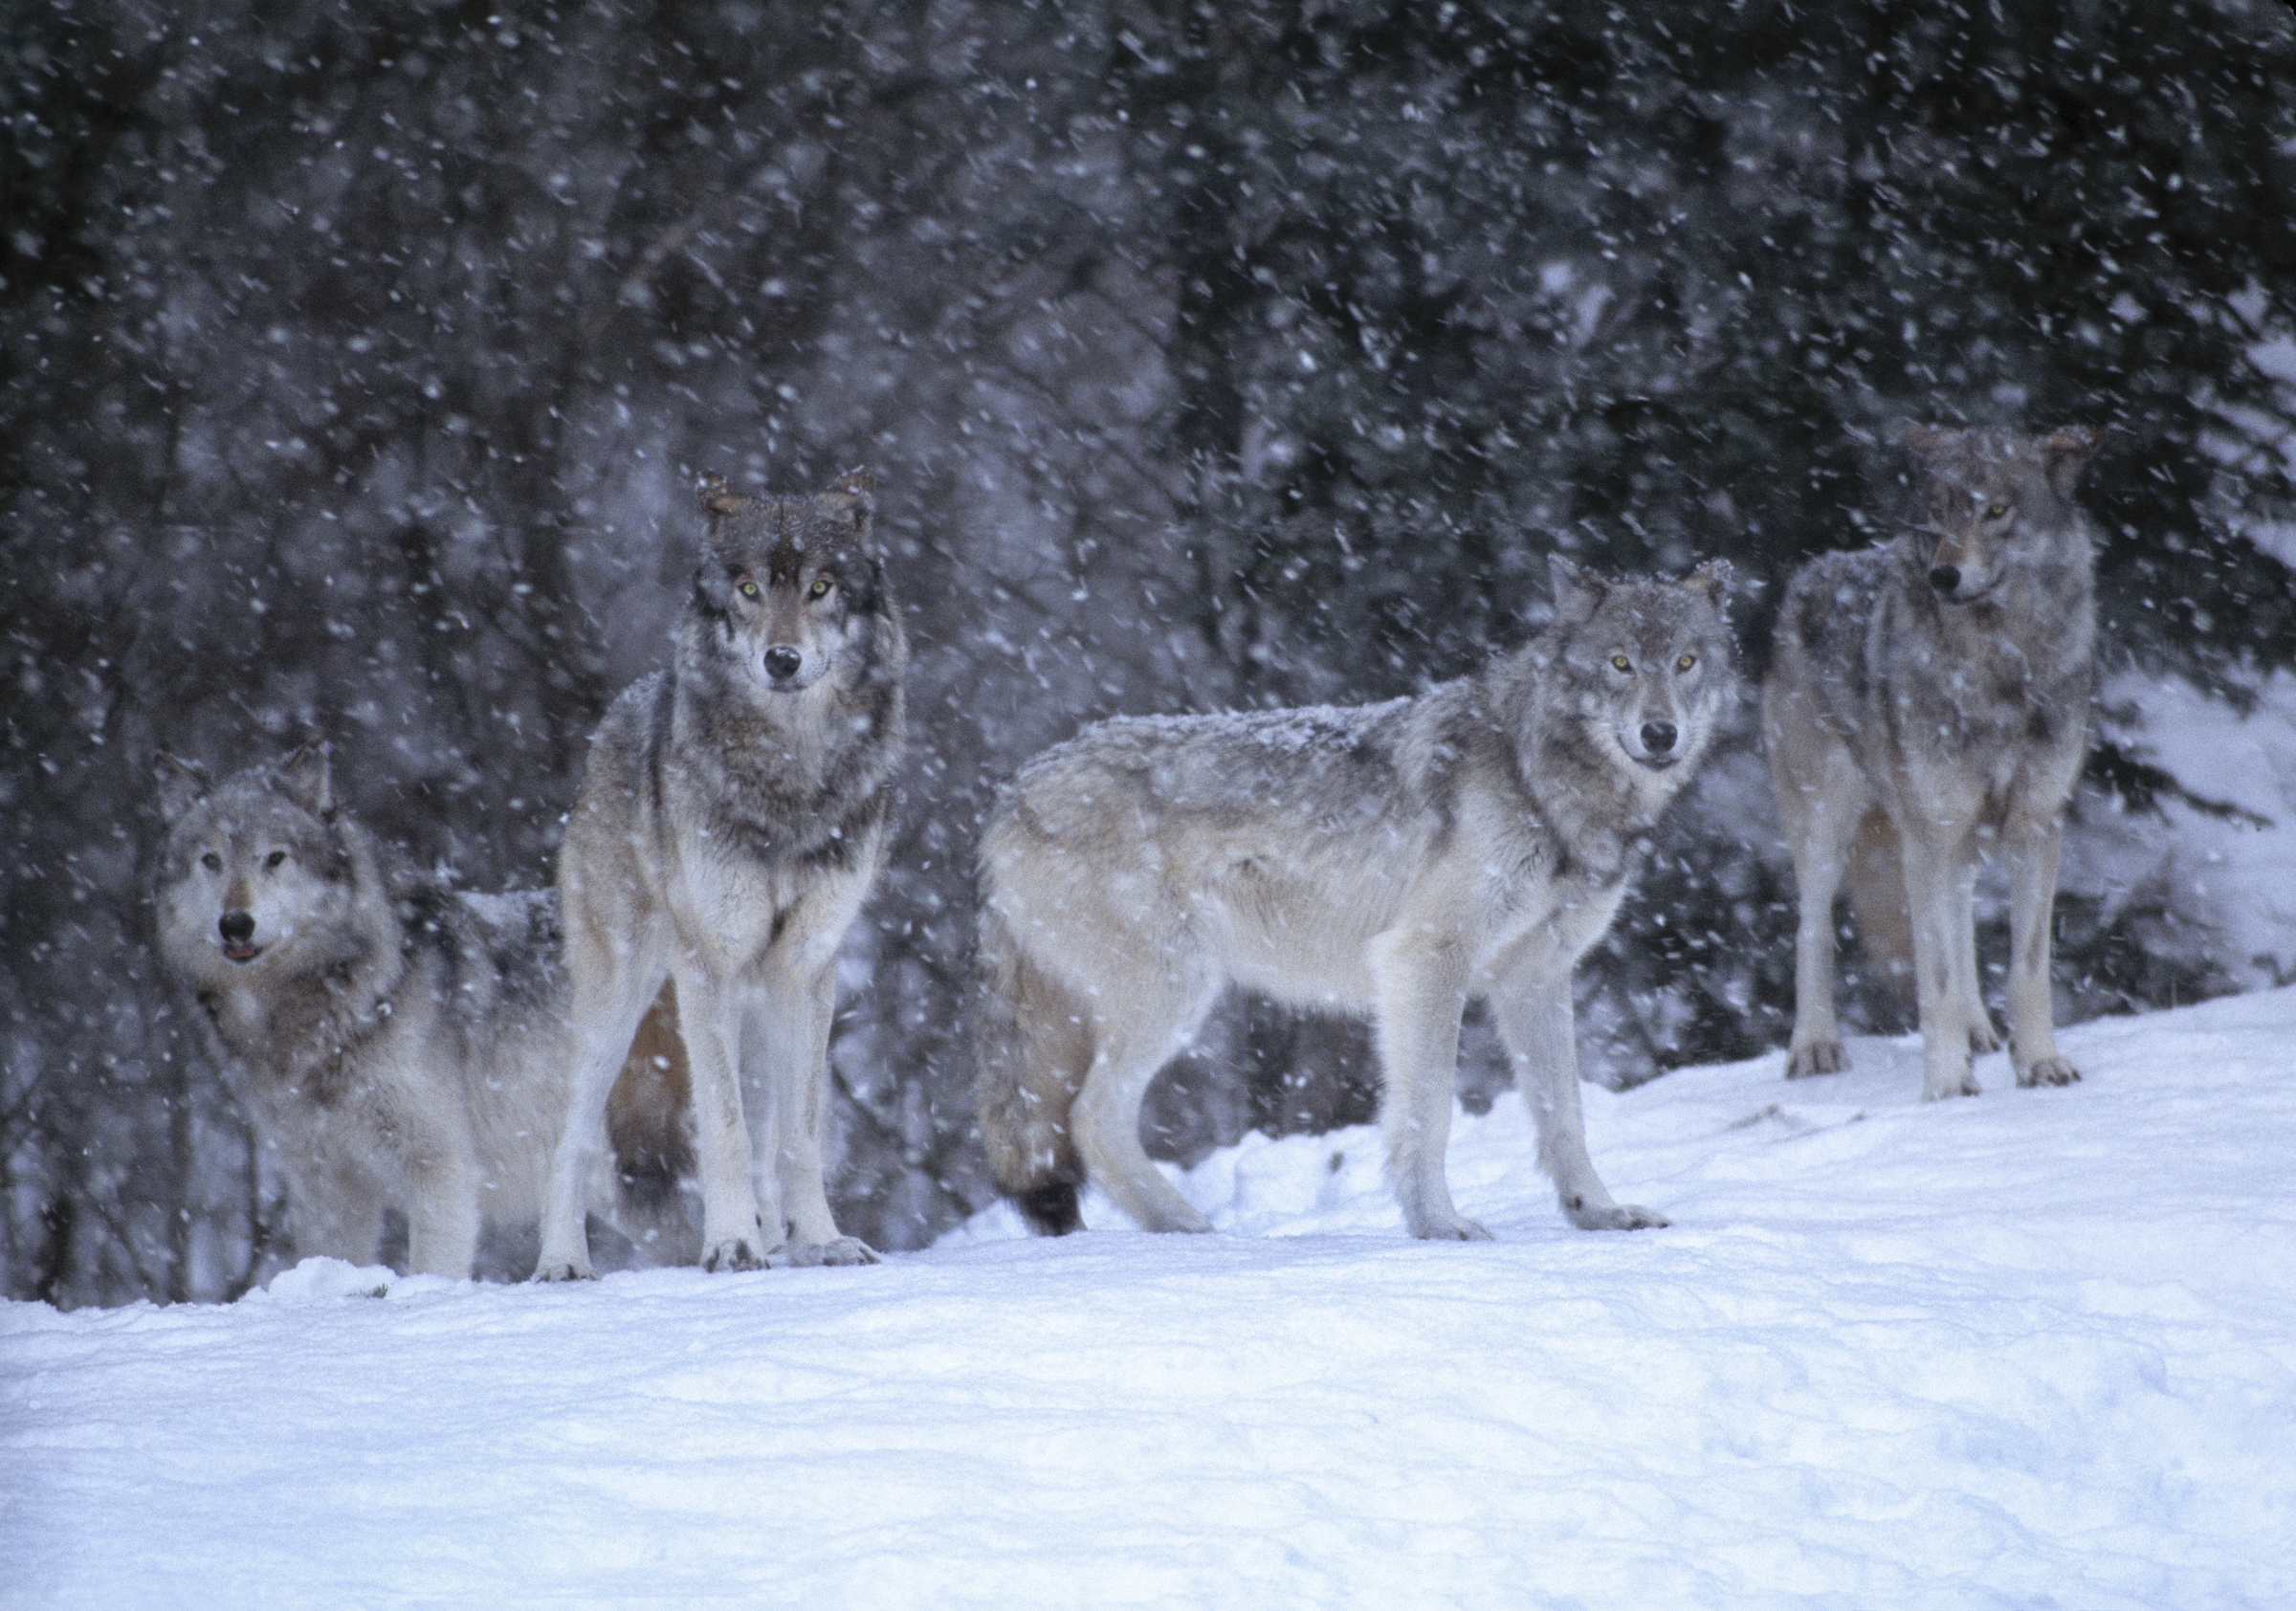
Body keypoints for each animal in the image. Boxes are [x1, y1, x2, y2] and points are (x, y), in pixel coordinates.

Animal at [153, 752, 693, 1285]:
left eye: (274, 858)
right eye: (211, 861)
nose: (234, 924)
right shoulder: (325, 1182)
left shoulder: (440, 1168)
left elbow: (431, 1268)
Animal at [532, 470, 899, 1285]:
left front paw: (822, 1241)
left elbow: (799, 1134)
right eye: (749, 589)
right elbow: (724, 1129)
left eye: (821, 587)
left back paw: (780, 1239)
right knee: (573, 1132)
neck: (790, 781)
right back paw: (563, 1261)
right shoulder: (709, 965)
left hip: (757, 1008)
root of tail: (618, 715)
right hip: (625, 995)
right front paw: (729, 1246)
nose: (782, 660)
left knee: (767, 1131)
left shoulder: (808, 968)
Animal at [973, 562, 1735, 1239]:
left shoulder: (1536, 977)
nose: (1660, 734)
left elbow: (1566, 1116)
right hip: (1175, 993)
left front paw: (1598, 1213)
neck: (1540, 777)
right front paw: (1439, 1224)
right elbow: (1429, 1111)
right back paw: (1187, 1226)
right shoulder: (1424, 958)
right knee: (1089, 1120)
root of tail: (1010, 797)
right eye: (1620, 663)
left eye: (1686, 662)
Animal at [1763, 427, 2103, 1111]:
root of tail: (1812, 570)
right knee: (1814, 928)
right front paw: (1946, 1086)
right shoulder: (1930, 832)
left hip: (1954, 839)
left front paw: (2041, 1064)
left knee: (1959, 916)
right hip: (1829, 825)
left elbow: (2027, 967)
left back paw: (1978, 1032)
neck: (1999, 669)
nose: (1944, 573)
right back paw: (1815, 1047)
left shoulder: (2035, 826)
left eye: (1995, 510)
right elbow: (1935, 977)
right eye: (1938, 513)